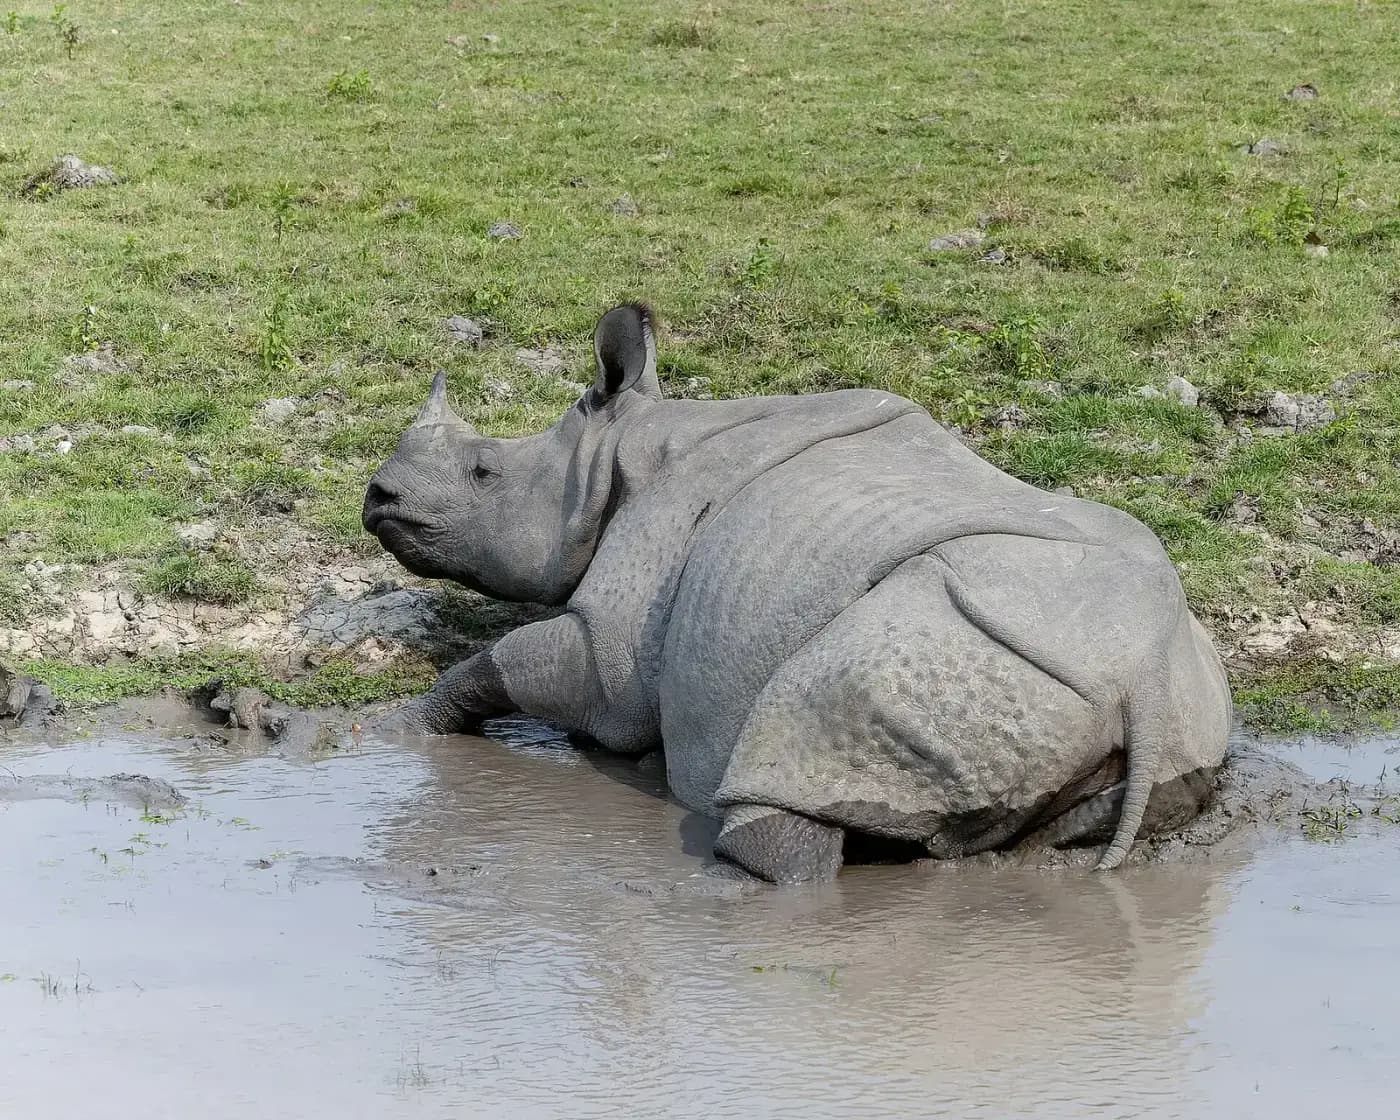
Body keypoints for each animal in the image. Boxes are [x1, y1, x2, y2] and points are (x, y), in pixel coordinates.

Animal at [362, 303, 1231, 882]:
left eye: (483, 473)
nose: (377, 498)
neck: (614, 456)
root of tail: (1143, 677)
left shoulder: (615, 647)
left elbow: (517, 663)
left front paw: (399, 733)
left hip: (950, 647)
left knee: (789, 767)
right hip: (1176, 705)